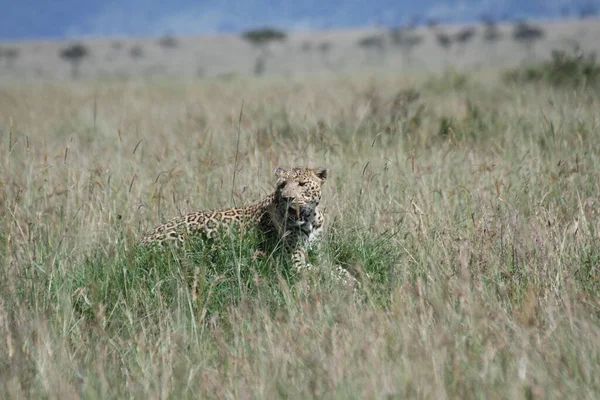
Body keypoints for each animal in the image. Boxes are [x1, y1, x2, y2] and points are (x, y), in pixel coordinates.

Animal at [141, 166, 356, 284]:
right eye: (282, 185)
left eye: (302, 184)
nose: (288, 198)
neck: (310, 220)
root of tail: (140, 243)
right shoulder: (293, 261)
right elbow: (321, 270)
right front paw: (350, 282)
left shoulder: (318, 253)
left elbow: (335, 267)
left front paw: (351, 277)